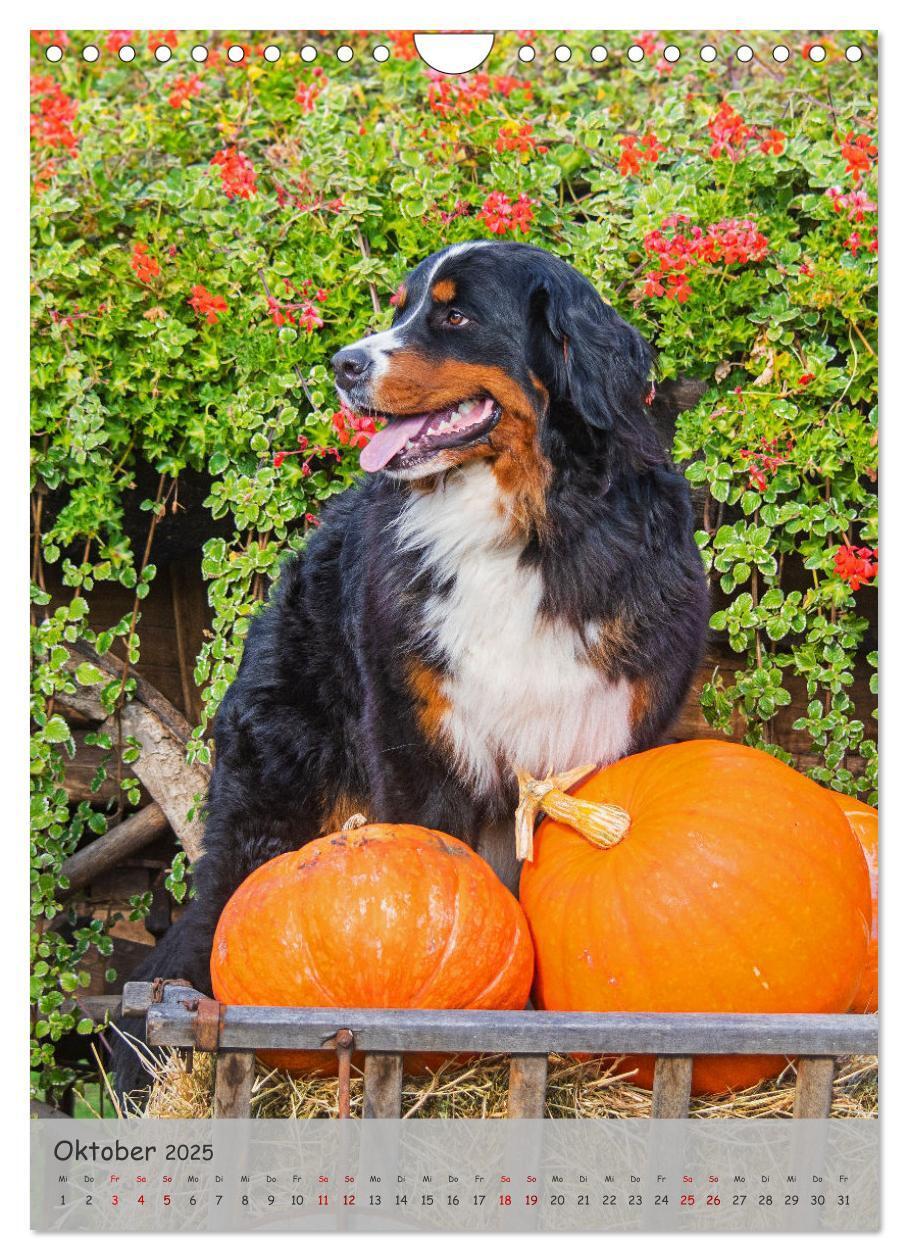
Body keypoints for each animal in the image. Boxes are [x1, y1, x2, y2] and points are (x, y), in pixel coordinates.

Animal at [111, 243, 710, 1093]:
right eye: (400, 308)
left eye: (454, 316)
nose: (342, 363)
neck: (521, 530)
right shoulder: (417, 740)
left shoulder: (614, 724)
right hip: (279, 798)